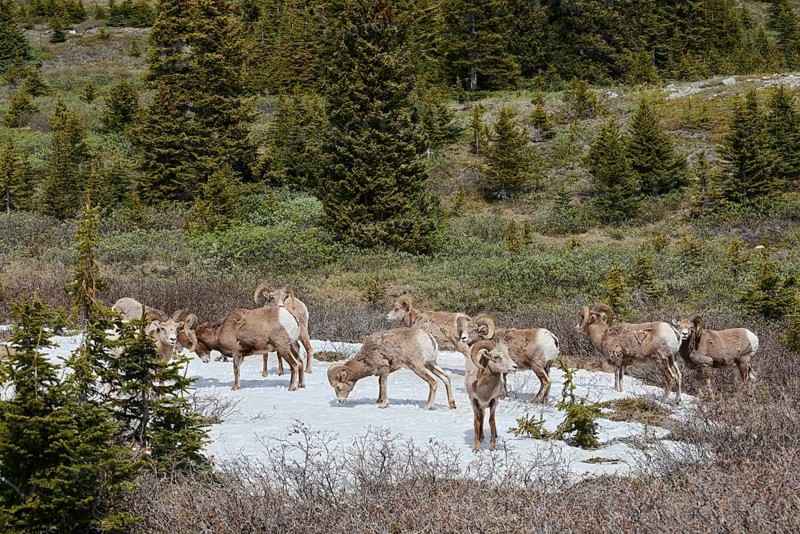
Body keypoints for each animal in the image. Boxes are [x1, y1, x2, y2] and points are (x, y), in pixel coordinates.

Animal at [327, 327, 456, 410]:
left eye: (338, 387)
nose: (340, 401)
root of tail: (429, 338)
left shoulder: (385, 369)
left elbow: (383, 384)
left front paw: (383, 404)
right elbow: (380, 383)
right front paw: (379, 401)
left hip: (417, 367)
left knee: (433, 381)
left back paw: (428, 406)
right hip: (431, 364)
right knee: (446, 378)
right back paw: (452, 405)